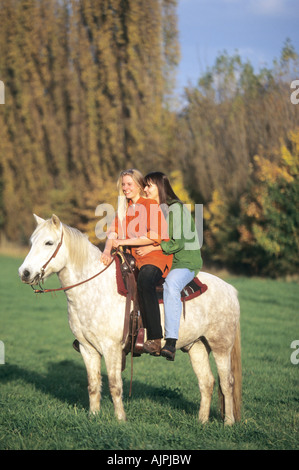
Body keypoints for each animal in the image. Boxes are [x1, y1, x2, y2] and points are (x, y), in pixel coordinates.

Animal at [18, 215, 243, 424]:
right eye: (32, 241)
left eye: (49, 243)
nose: (24, 273)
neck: (94, 288)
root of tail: (231, 290)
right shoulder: (87, 348)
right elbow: (93, 384)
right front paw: (93, 416)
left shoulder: (112, 348)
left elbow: (115, 385)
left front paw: (120, 419)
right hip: (197, 346)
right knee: (207, 382)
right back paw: (202, 421)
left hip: (221, 346)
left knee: (227, 383)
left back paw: (228, 422)